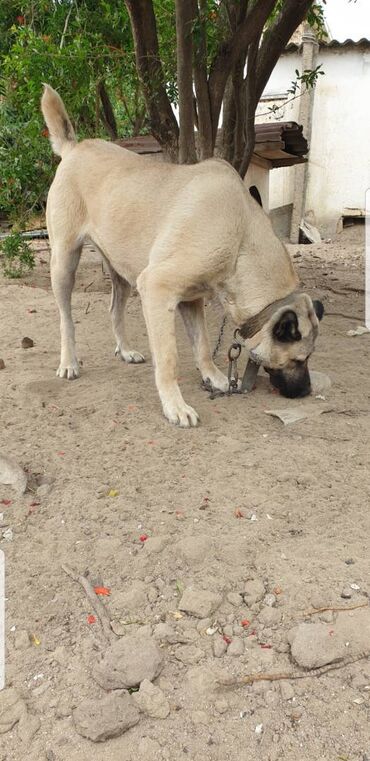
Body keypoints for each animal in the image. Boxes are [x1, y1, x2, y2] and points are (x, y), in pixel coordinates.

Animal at [41, 85, 324, 428]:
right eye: (300, 359)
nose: (307, 391)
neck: (240, 235)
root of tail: (74, 148)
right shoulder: (157, 289)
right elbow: (169, 359)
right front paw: (174, 405)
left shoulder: (191, 300)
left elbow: (201, 345)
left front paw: (214, 377)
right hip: (64, 263)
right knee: (66, 319)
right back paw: (69, 362)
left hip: (121, 271)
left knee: (114, 309)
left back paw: (125, 350)